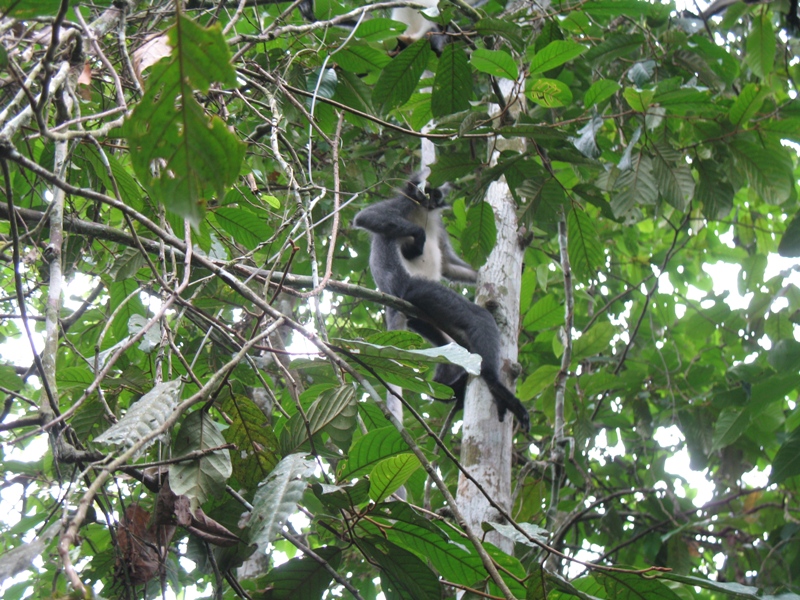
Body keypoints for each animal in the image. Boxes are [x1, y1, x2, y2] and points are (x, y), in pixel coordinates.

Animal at [352, 176, 528, 428]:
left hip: (421, 317)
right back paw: (496, 386)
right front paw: (417, 239)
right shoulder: (402, 204)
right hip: (417, 290)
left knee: (451, 347)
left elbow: (446, 265)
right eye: (425, 190)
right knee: (478, 318)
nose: (430, 199)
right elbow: (366, 217)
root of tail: (392, 298)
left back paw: (450, 383)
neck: (423, 209)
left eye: (436, 194)